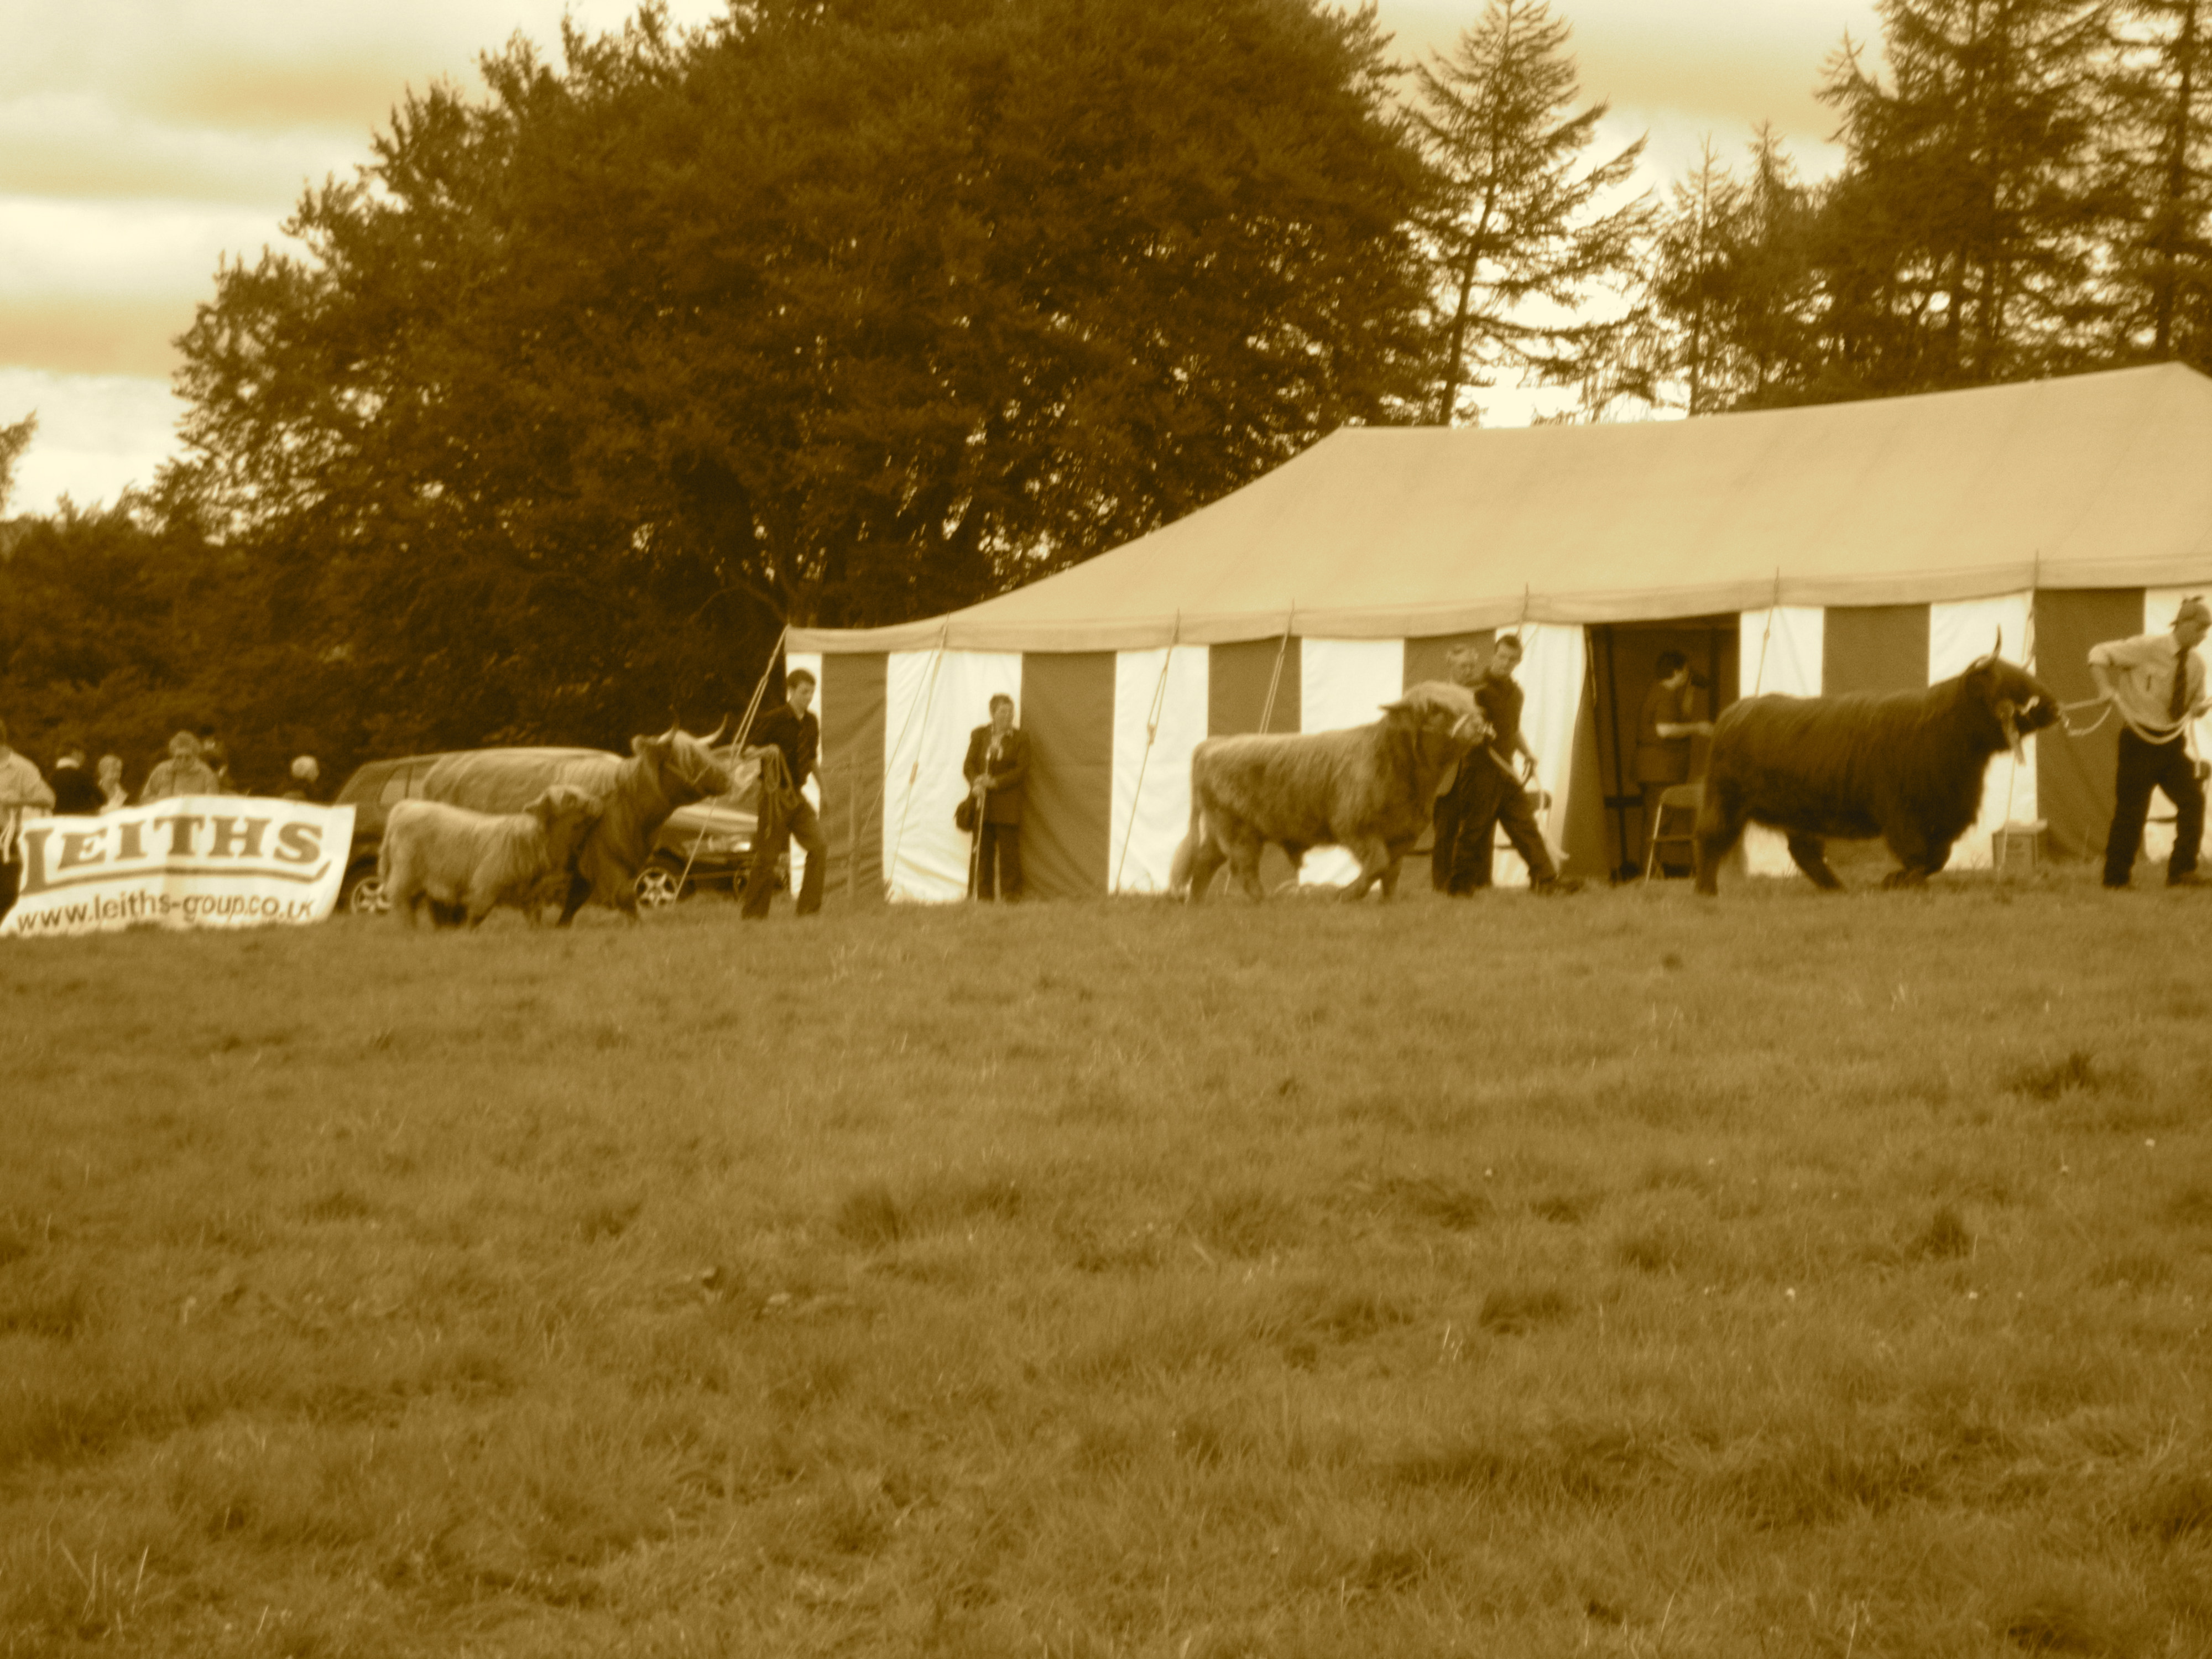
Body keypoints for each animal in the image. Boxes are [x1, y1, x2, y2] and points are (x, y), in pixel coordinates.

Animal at [378, 785, 605, 928]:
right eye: (570, 798)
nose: (598, 801)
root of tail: (404, 806)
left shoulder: (531, 894)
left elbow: (535, 919)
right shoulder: (486, 884)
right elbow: (477, 914)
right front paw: (466, 933)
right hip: (406, 874)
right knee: (401, 900)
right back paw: (410, 930)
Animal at [420, 722, 732, 924]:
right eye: (689, 758)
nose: (728, 778)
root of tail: (435, 770)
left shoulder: (587, 865)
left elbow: (574, 903)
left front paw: (560, 926)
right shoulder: (606, 859)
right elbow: (625, 898)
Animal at [1169, 681, 1489, 903]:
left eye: (1469, 704)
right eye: (1437, 710)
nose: (1480, 728)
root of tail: (1213, 743)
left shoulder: (1403, 835)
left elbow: (1392, 872)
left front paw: (1389, 902)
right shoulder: (1355, 826)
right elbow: (1378, 864)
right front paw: (1345, 895)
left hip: (1220, 829)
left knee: (1204, 862)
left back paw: (1196, 904)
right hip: (1238, 830)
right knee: (1242, 868)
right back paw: (1267, 902)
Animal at [1693, 653, 2058, 894]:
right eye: (2011, 685)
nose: (2055, 707)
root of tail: (1732, 713)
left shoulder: (1944, 816)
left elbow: (1938, 857)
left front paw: (1900, 881)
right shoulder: (1902, 814)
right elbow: (1922, 856)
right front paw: (1898, 881)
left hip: (1799, 814)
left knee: (1804, 852)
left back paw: (1837, 889)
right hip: (1727, 801)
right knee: (1711, 839)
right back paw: (1706, 890)